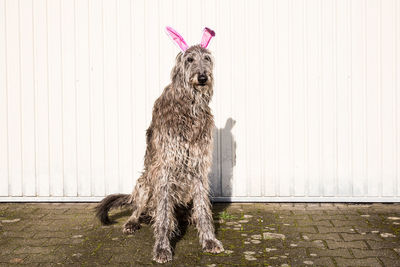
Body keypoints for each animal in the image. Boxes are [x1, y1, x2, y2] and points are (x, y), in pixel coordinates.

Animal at [95, 44, 223, 264]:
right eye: (189, 59)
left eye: (207, 58)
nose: (203, 77)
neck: (189, 106)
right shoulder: (165, 167)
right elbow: (163, 215)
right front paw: (162, 247)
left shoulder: (199, 167)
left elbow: (203, 209)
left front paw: (209, 240)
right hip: (145, 182)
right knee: (140, 208)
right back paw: (133, 222)